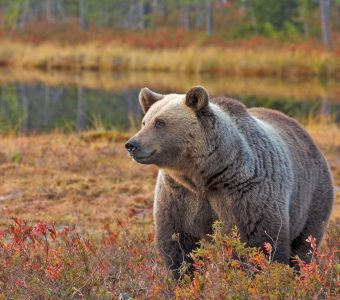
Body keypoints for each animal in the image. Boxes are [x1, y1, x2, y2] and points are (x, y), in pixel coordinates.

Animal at [125, 86, 334, 278]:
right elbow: (177, 241)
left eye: (160, 122)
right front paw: (185, 276)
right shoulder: (179, 195)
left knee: (304, 245)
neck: (205, 174)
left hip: (312, 196)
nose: (132, 144)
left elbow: (260, 241)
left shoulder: (246, 192)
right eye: (145, 121)